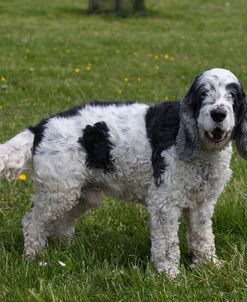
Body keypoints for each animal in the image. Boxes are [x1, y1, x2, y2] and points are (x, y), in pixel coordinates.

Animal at [0, 68, 246, 278]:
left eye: (233, 96)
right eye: (203, 93)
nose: (218, 114)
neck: (199, 147)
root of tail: (41, 127)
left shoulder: (202, 203)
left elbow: (203, 237)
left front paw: (209, 265)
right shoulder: (164, 203)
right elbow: (167, 244)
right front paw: (170, 275)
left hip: (80, 194)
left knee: (62, 224)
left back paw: (65, 252)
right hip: (57, 192)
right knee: (32, 223)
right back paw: (34, 257)